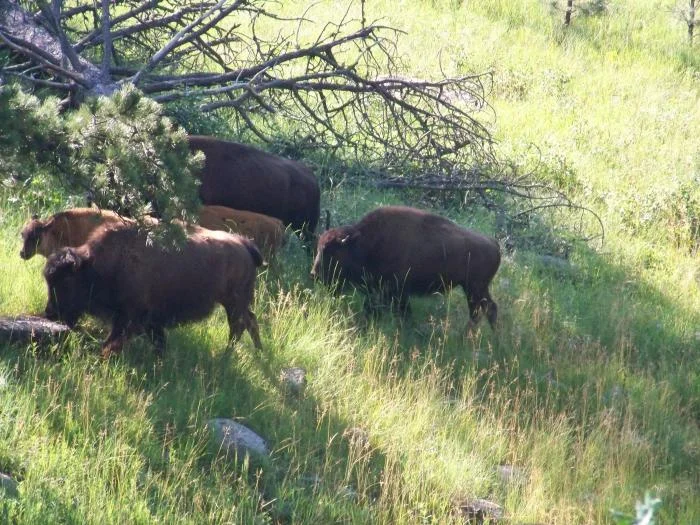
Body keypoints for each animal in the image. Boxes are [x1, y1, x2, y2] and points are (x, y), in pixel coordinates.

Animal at [43, 225, 264, 356]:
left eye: (66, 281)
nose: (50, 313)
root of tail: (244, 243)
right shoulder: (150, 320)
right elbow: (158, 340)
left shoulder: (129, 317)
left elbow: (113, 340)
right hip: (236, 303)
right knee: (250, 321)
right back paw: (256, 352)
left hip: (234, 303)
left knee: (238, 326)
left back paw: (226, 355)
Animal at [308, 206, 500, 326]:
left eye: (331, 252)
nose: (314, 274)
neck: (363, 244)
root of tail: (494, 244)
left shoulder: (396, 291)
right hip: (475, 289)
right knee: (487, 310)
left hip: (475, 288)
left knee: (481, 311)